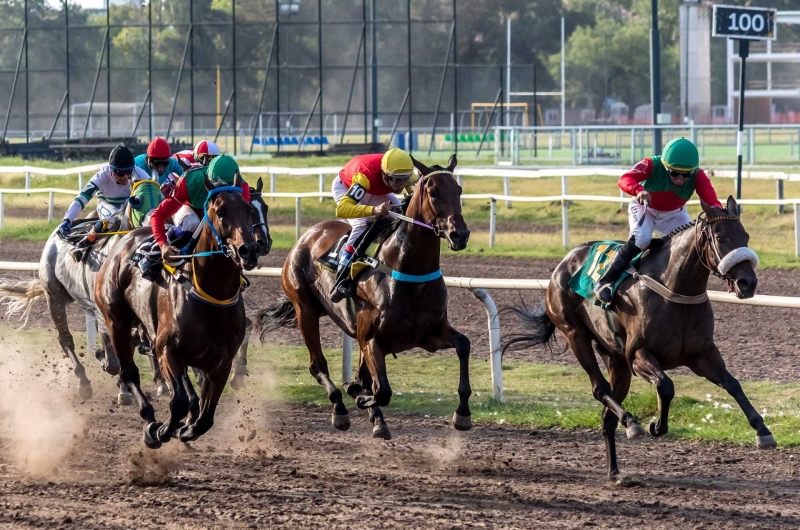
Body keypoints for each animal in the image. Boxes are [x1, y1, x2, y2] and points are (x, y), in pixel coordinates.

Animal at [95, 175, 260, 448]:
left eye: (249, 210)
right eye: (220, 211)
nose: (249, 250)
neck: (212, 296)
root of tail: (124, 240)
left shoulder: (221, 363)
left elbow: (206, 417)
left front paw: (186, 429)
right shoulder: (168, 350)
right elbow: (179, 402)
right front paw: (160, 430)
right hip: (116, 321)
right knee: (129, 372)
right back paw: (149, 418)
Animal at [255, 155, 468, 440]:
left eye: (459, 190)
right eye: (433, 193)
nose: (460, 234)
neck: (408, 274)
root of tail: (308, 235)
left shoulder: (429, 335)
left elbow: (463, 344)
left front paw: (463, 414)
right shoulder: (372, 340)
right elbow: (381, 391)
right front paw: (356, 394)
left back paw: (376, 418)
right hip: (305, 310)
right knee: (318, 365)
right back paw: (340, 410)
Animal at [504, 196, 772, 480]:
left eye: (745, 235)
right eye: (720, 237)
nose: (747, 283)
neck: (675, 290)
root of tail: (564, 262)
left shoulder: (702, 355)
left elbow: (732, 384)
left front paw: (763, 431)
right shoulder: (638, 355)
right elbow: (666, 386)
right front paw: (656, 425)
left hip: (615, 359)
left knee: (607, 414)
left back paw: (615, 472)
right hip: (575, 334)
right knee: (600, 388)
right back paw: (631, 423)